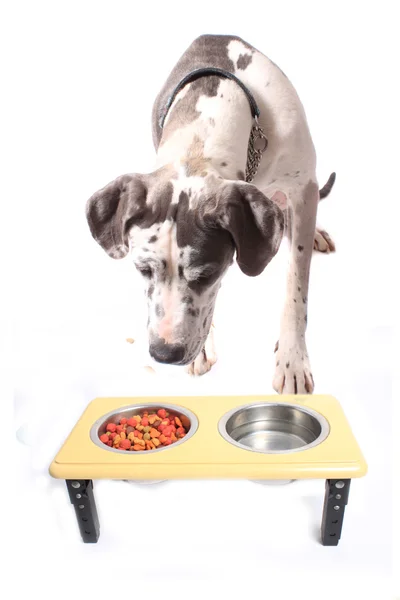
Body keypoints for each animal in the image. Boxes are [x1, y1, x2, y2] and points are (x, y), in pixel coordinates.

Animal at [86, 36, 334, 394]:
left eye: (207, 274)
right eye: (142, 270)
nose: (165, 353)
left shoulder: (302, 184)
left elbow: (296, 288)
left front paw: (293, 360)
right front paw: (202, 350)